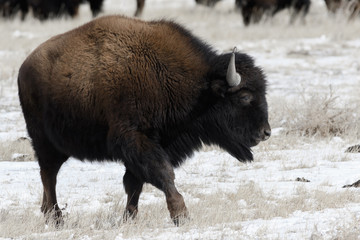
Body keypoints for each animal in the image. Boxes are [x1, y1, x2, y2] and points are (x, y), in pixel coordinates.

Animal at [17, 15, 270, 225]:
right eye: (245, 97)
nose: (265, 132)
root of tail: (24, 68)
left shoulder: (156, 145)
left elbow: (134, 183)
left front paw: (129, 218)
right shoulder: (136, 140)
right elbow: (163, 173)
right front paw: (182, 216)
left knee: (48, 176)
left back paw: (49, 214)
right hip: (45, 142)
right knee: (49, 175)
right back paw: (56, 218)